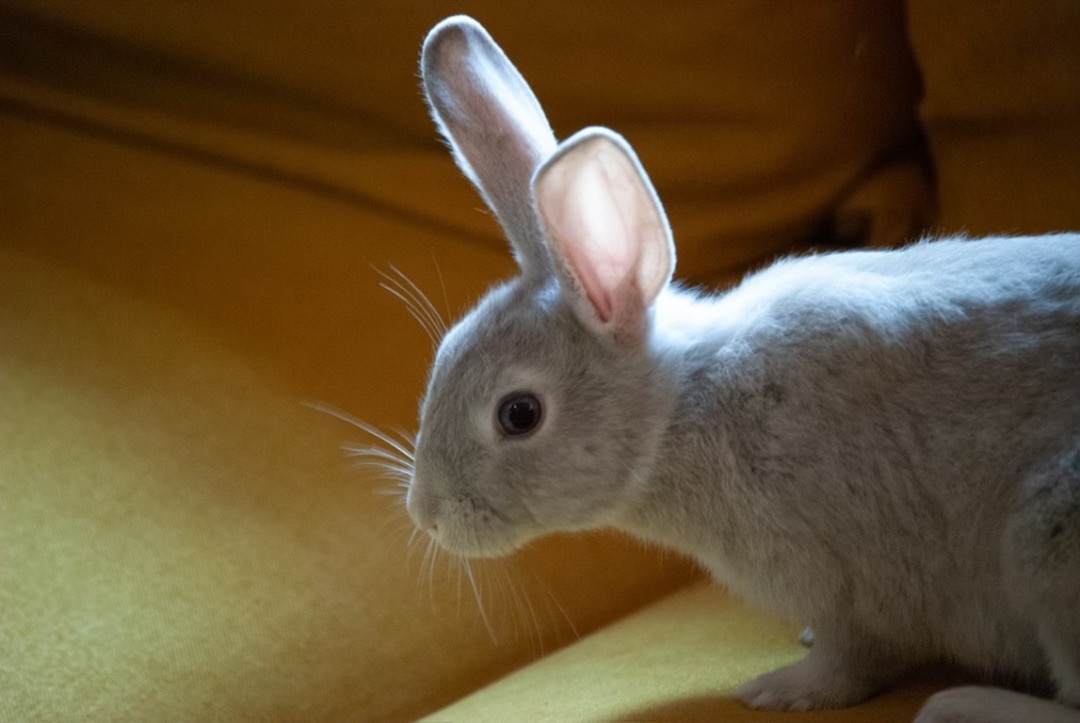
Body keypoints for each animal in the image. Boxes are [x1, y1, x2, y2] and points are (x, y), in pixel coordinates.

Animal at [407, 15, 1080, 722]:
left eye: (519, 414)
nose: (426, 514)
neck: (682, 411)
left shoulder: (855, 585)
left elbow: (850, 664)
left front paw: (781, 689)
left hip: (1050, 541)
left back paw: (961, 701)